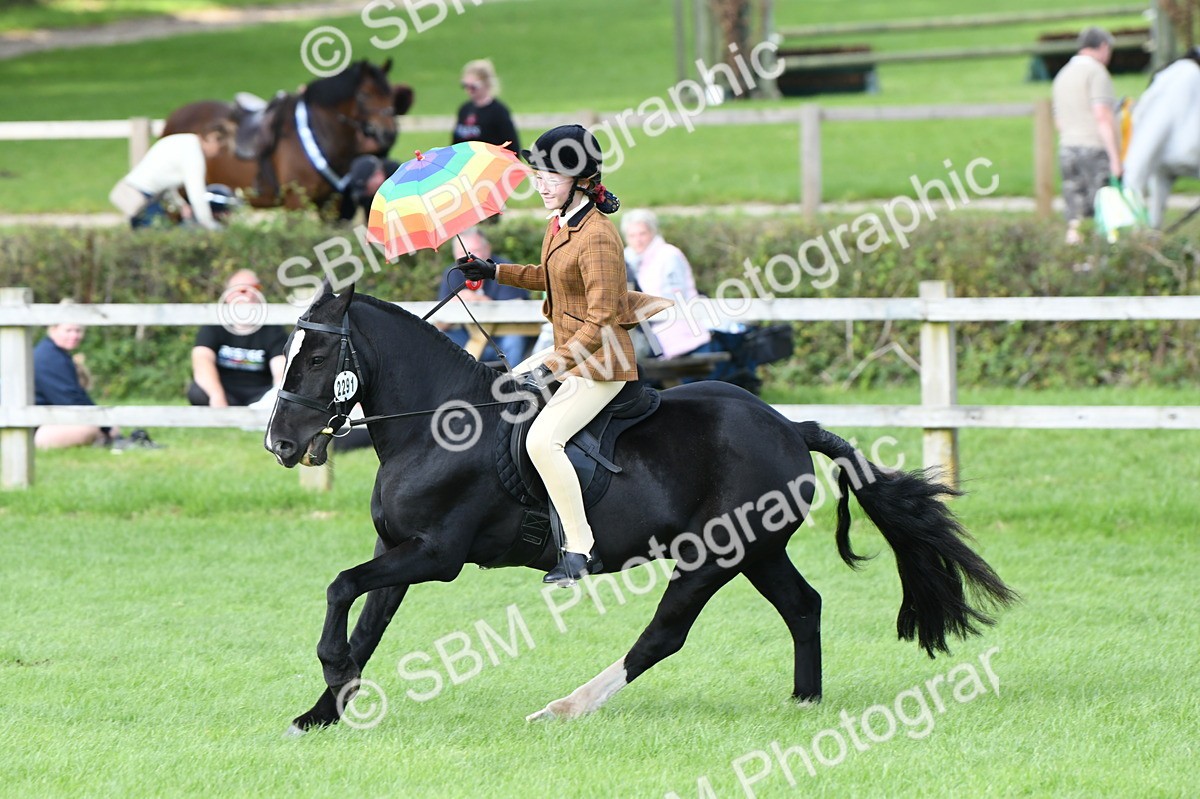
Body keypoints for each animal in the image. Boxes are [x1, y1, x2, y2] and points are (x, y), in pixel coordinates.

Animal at [162, 59, 414, 210]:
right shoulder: (296, 201)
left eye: (390, 94)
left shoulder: (329, 204)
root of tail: (174, 116)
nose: (388, 133)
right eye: (365, 94)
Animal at [264, 282, 1018, 733]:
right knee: (804, 607)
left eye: (317, 354)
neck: (438, 425)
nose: (281, 442)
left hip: (712, 557)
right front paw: (323, 709)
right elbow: (367, 621)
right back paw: (805, 700)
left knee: (664, 635)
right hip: (757, 551)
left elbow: (341, 591)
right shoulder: (399, 549)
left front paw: (332, 674)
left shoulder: (435, 555)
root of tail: (786, 424)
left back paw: (567, 706)